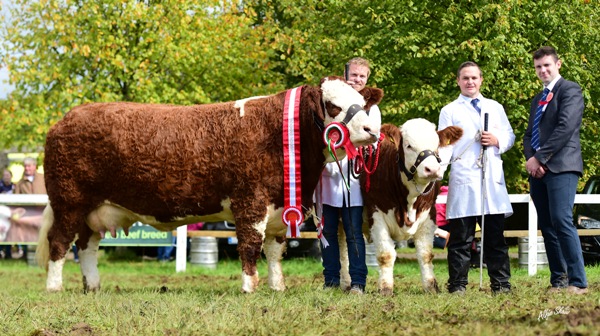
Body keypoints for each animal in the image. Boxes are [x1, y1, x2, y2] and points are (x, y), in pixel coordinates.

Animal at [38, 77, 384, 292]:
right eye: (334, 105)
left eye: (362, 103)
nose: (371, 130)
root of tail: (65, 119)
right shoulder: (250, 200)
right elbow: (250, 245)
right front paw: (249, 287)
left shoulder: (280, 205)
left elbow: (275, 250)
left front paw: (277, 286)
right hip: (69, 201)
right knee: (59, 242)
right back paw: (54, 287)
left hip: (92, 210)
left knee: (87, 246)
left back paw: (93, 285)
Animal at [340, 119, 462, 294]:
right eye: (409, 145)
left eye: (437, 145)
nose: (432, 169)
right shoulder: (376, 215)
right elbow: (386, 255)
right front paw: (385, 288)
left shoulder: (428, 216)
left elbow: (426, 254)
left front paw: (431, 287)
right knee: (343, 248)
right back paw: (345, 282)